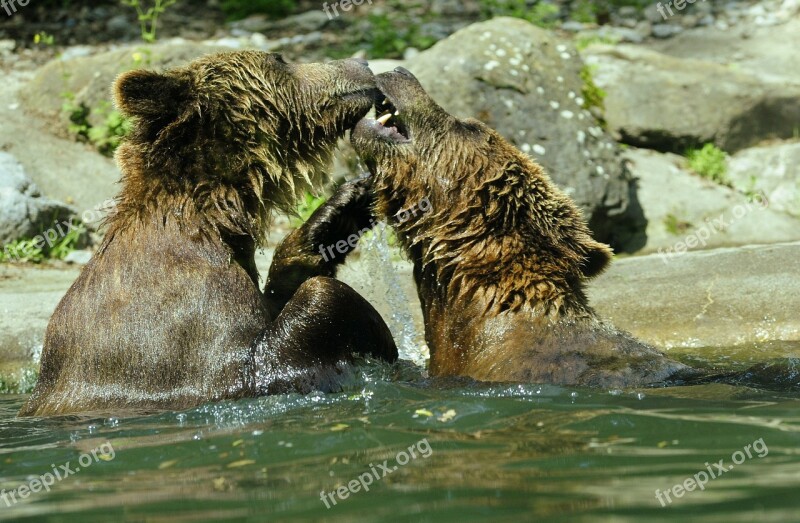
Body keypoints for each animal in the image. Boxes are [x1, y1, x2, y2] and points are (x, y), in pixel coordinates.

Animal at [22, 52, 400, 418]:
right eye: (278, 58)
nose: (363, 63)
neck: (213, 217)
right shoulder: (184, 332)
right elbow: (290, 335)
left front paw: (345, 209)